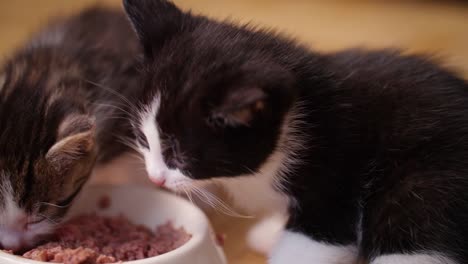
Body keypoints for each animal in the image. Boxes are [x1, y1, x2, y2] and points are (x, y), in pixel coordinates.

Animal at [122, 0, 468, 264]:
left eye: (181, 156)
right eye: (142, 139)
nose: (155, 178)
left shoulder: (332, 178)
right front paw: (271, 230)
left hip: (424, 180)